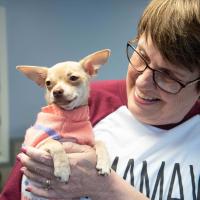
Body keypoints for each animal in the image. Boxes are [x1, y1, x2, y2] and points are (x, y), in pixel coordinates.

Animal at [17, 48, 111, 200]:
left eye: (73, 78)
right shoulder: (35, 145)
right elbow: (55, 143)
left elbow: (100, 142)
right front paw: (63, 169)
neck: (68, 115)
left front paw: (104, 163)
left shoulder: (87, 142)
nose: (56, 91)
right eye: (48, 83)